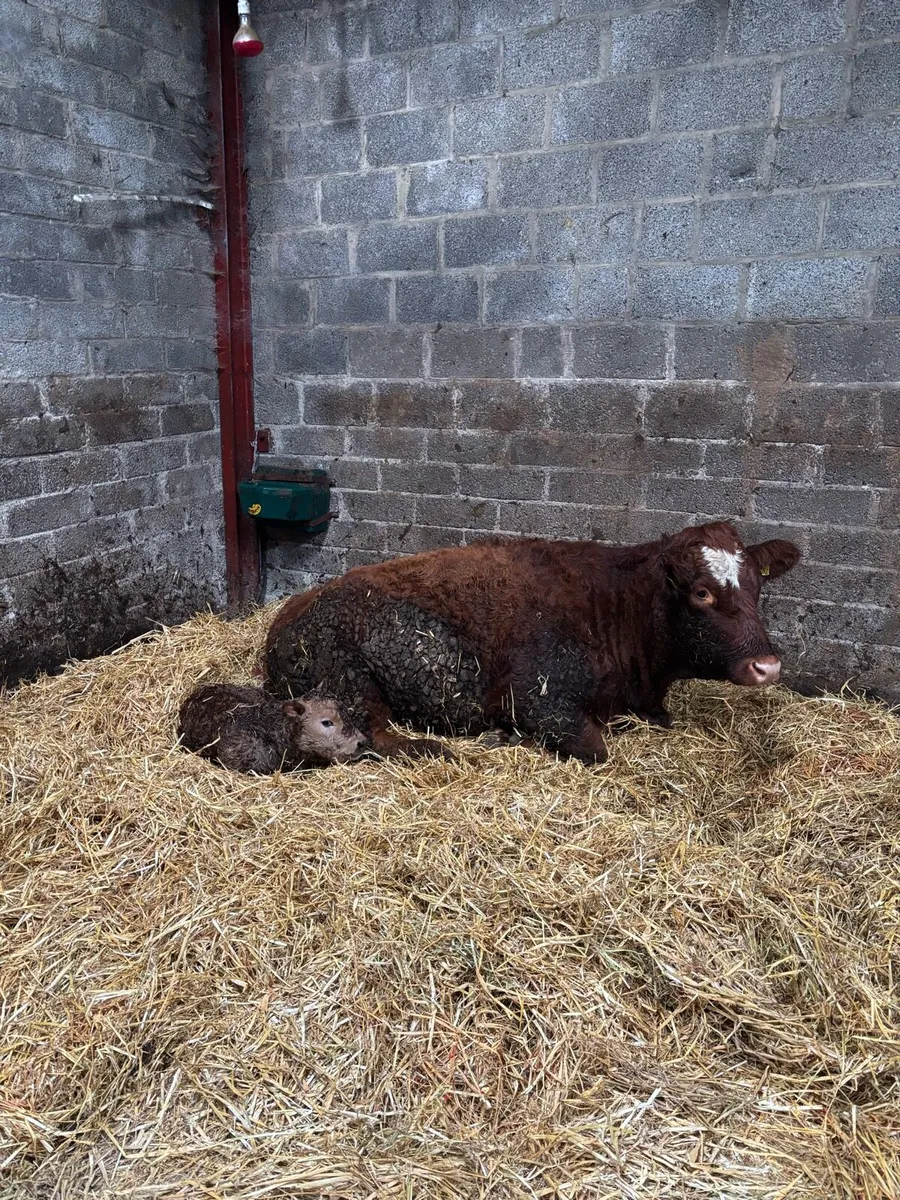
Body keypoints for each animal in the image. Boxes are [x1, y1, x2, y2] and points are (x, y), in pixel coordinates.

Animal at [264, 521, 800, 764]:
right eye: (701, 592)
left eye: (757, 584)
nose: (768, 666)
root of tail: (287, 614)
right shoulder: (538, 698)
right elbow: (596, 747)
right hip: (352, 681)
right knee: (375, 739)